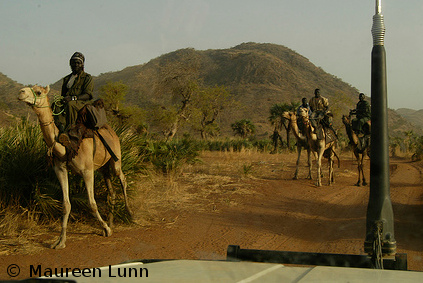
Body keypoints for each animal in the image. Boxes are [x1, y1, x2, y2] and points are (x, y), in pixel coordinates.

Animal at [17, 85, 132, 250]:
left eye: (38, 92)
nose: (21, 92)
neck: (65, 146)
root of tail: (111, 131)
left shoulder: (87, 171)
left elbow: (92, 203)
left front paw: (106, 229)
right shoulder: (60, 169)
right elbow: (66, 204)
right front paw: (60, 242)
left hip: (116, 157)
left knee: (122, 177)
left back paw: (129, 213)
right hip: (103, 167)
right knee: (111, 190)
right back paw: (111, 222)